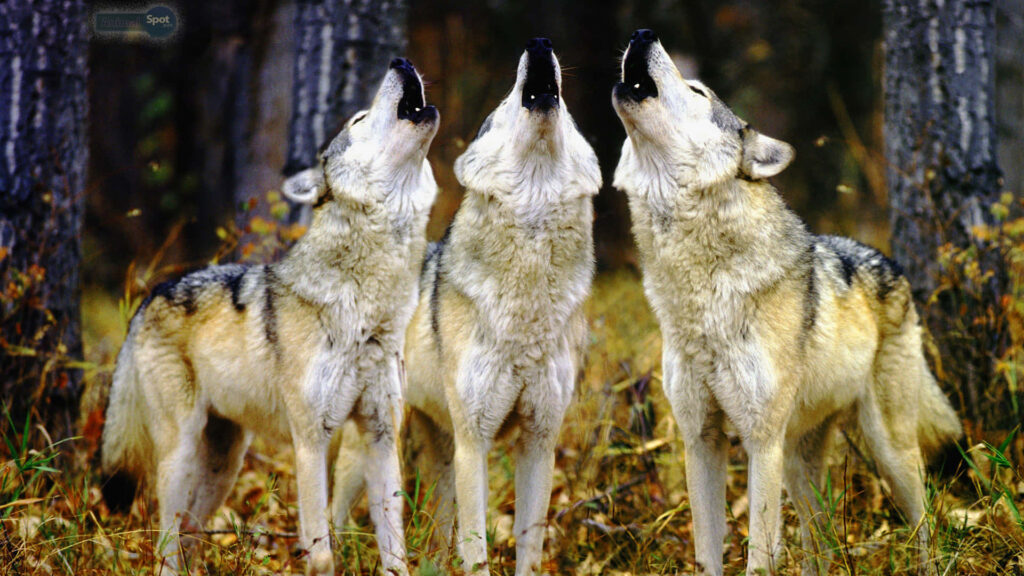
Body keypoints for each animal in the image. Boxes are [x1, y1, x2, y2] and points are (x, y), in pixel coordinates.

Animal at [99, 57, 439, 576]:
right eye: (358, 120)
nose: (400, 62)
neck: (368, 310)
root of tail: (151, 294)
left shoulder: (380, 436)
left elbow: (395, 551)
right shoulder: (310, 440)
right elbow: (321, 552)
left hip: (225, 463)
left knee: (191, 532)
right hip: (179, 454)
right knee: (166, 542)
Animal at [332, 38, 601, 576]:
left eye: (570, 113)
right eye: (503, 104)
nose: (539, 44)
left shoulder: (539, 441)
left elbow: (529, 548)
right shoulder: (474, 442)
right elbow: (476, 550)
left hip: (439, 450)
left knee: (436, 535)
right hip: (377, 444)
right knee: (334, 511)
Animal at [611, 29, 962, 576]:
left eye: (696, 90)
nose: (642, 35)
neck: (700, 293)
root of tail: (892, 262)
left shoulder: (762, 442)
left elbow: (760, 555)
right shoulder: (700, 440)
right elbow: (708, 552)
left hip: (887, 449)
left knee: (925, 523)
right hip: (800, 464)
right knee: (823, 546)